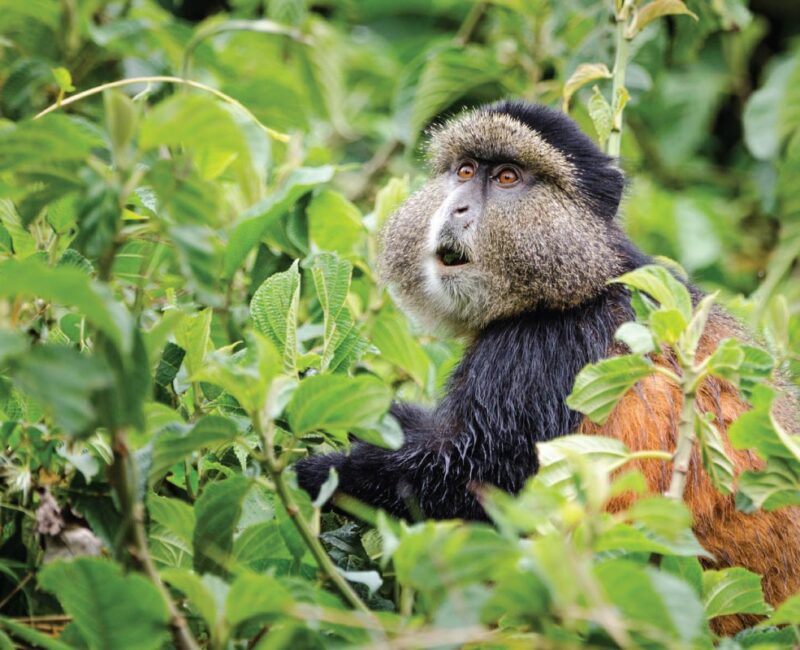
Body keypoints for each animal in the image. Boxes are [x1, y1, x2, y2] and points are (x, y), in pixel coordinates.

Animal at [294, 101, 800, 633]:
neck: (581, 281)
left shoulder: (541, 353)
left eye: (508, 177)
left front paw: (318, 473)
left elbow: (469, 481)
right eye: (465, 171)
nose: (457, 208)